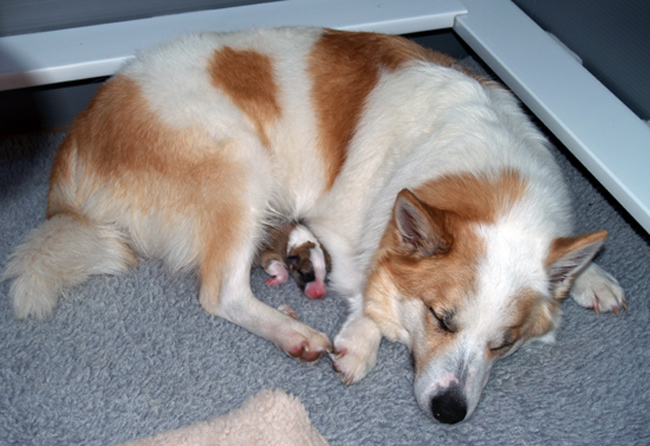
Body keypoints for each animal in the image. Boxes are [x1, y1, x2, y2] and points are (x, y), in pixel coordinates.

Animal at [5, 26, 624, 424]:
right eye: (440, 319)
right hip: (242, 166)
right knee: (221, 293)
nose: (450, 414)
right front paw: (360, 340)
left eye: (504, 344)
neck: (492, 167)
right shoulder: (349, 238)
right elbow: (372, 290)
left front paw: (592, 278)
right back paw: (293, 333)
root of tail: (76, 146)